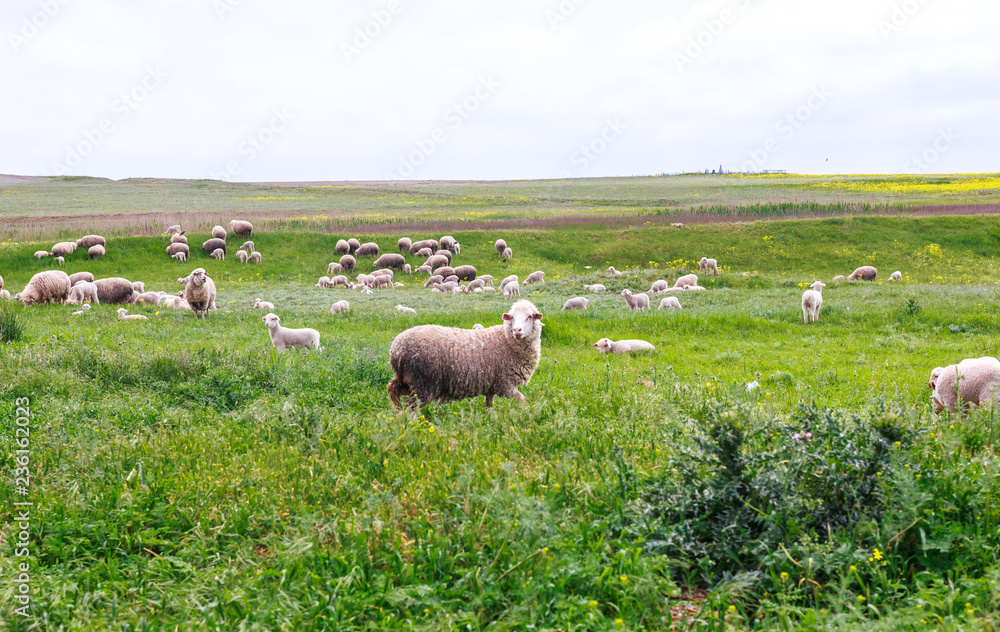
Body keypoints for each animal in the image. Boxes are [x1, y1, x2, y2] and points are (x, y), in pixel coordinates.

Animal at [388, 299, 543, 410]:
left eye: (530, 317)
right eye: (512, 317)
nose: (517, 330)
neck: (506, 341)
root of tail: (396, 349)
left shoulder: (492, 386)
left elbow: (488, 405)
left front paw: (489, 419)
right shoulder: (504, 384)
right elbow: (522, 399)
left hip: (407, 379)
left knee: (393, 390)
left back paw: (398, 413)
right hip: (423, 382)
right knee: (412, 407)